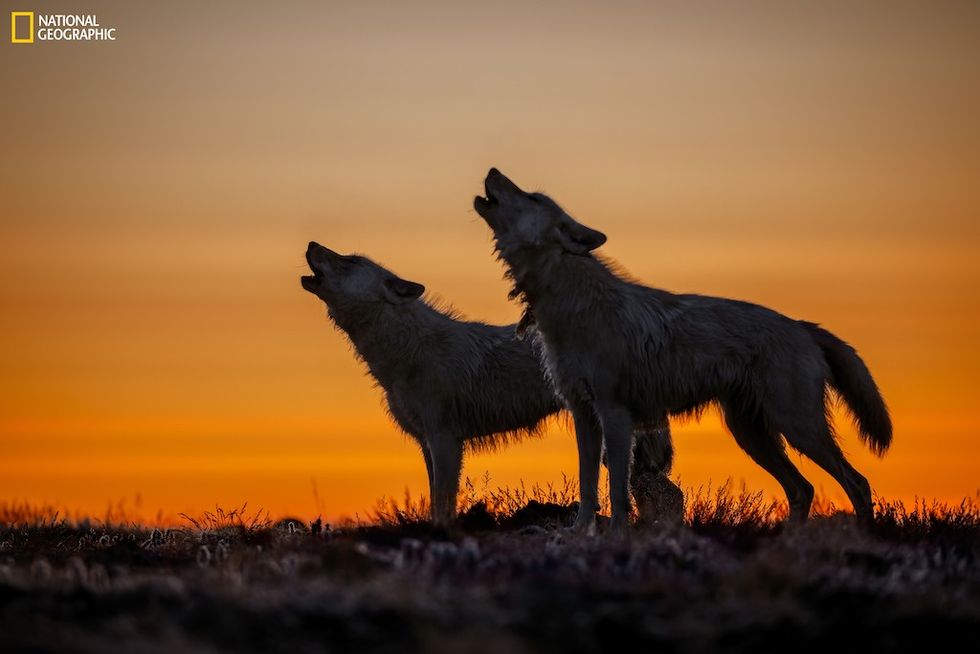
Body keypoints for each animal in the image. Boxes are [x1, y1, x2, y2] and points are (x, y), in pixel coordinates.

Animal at [301, 242, 682, 526]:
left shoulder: (446, 441)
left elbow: (444, 503)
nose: (311, 244)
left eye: (350, 261)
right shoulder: (426, 443)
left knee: (666, 495)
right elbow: (435, 498)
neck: (406, 354)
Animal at [474, 169, 892, 534]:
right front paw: (578, 534)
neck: (571, 304)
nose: (492, 170)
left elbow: (617, 491)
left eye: (533, 197)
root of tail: (803, 326)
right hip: (752, 435)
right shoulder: (584, 416)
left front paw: (616, 535)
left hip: (798, 428)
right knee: (802, 489)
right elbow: (588, 487)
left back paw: (862, 540)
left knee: (857, 483)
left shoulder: (615, 415)